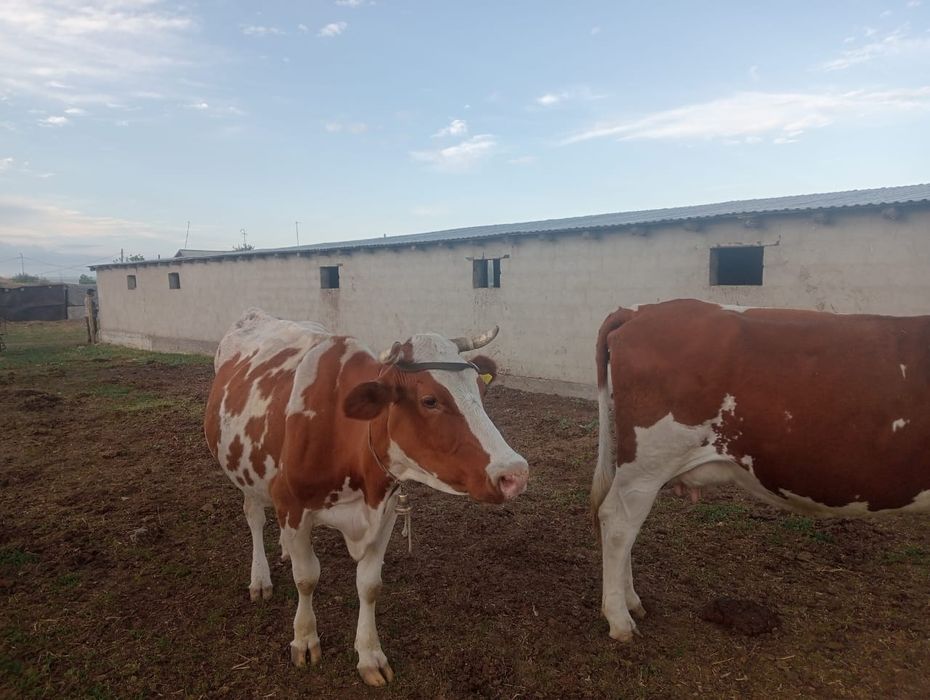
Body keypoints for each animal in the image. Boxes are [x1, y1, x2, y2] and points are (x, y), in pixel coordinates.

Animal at [203, 309, 529, 686]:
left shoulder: (383, 511)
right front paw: (305, 639)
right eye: (430, 400)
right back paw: (260, 578)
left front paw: (370, 655)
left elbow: (369, 585)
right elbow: (306, 577)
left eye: (480, 388)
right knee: (254, 516)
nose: (515, 474)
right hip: (244, 469)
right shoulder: (293, 505)